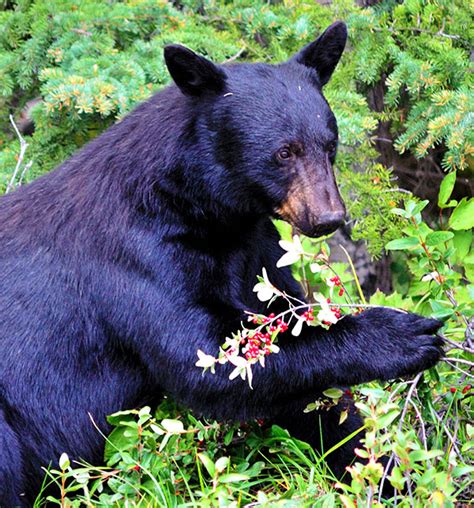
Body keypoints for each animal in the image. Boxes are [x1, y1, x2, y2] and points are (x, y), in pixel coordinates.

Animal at [0, 21, 444, 506]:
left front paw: (384, 473)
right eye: (284, 152)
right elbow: (207, 356)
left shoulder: (254, 246)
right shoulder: (141, 256)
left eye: (330, 145)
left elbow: (296, 356)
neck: (204, 209)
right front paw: (401, 335)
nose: (329, 217)